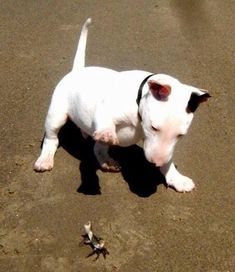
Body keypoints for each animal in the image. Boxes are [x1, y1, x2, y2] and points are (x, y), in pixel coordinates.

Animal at [34, 18, 210, 192]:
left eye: (181, 135)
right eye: (153, 127)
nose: (157, 162)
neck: (138, 100)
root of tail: (77, 71)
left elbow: (169, 159)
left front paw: (176, 178)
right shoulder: (106, 107)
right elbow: (105, 120)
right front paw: (106, 134)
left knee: (97, 148)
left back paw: (106, 160)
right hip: (56, 115)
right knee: (52, 138)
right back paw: (45, 159)